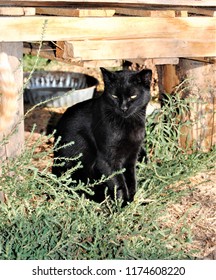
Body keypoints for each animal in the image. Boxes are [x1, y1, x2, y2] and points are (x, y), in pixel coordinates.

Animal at [52, 66, 152, 205]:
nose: (123, 108)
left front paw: (131, 200)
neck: (127, 124)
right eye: (114, 96)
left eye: (133, 96)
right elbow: (118, 182)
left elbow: (131, 179)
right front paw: (123, 203)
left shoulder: (132, 156)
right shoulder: (107, 160)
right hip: (82, 149)